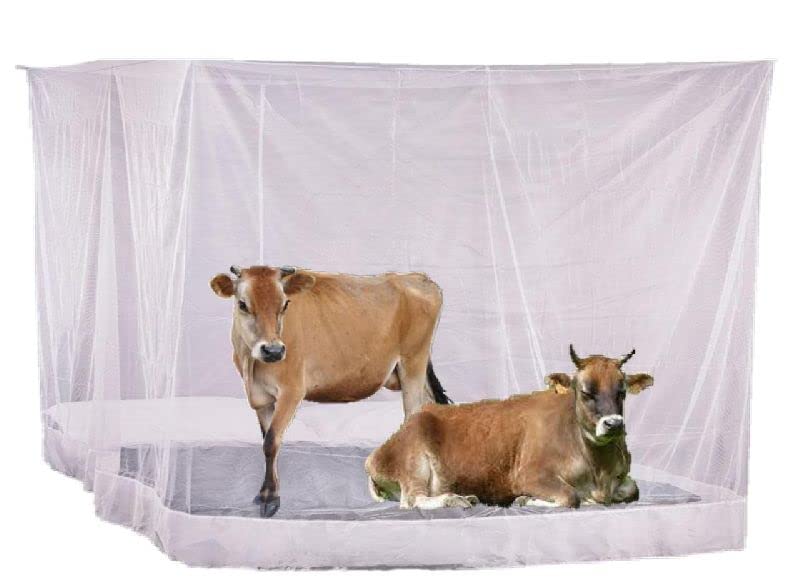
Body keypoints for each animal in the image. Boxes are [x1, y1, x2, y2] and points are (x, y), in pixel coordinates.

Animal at [210, 265, 451, 516]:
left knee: (414, 416)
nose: (273, 350)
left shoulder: (291, 391)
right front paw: (266, 492)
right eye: (242, 304)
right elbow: (267, 440)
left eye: (285, 304)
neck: (252, 366)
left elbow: (271, 442)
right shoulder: (261, 398)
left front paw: (270, 498)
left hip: (413, 361)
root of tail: (416, 277)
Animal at [365, 345, 653, 509]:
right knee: (412, 500)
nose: (614, 424)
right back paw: (455, 499)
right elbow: (571, 497)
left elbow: (633, 490)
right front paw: (525, 499)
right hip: (413, 463)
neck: (598, 471)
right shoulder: (528, 474)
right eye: (585, 392)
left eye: (622, 391)